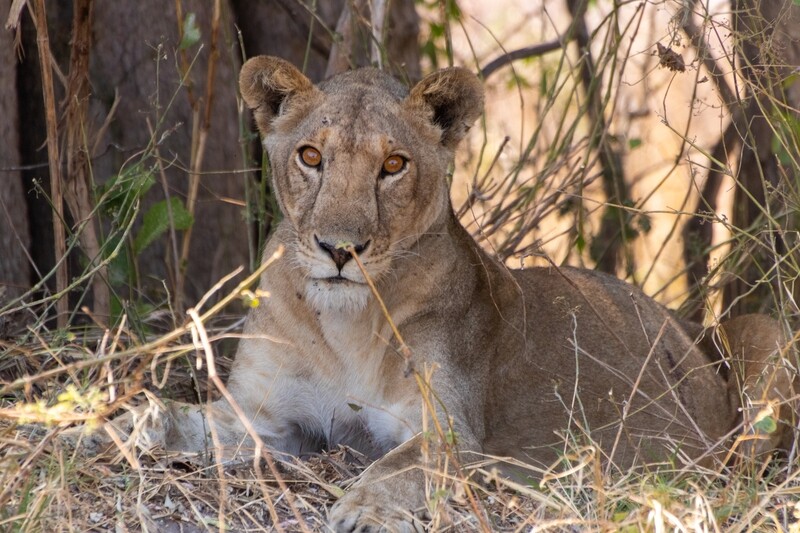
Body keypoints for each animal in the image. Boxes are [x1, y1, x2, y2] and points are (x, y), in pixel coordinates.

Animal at [72, 56, 797, 532]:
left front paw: (362, 508)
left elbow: (401, 465)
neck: (345, 323)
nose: (340, 249)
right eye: (311, 156)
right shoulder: (263, 419)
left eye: (393, 165)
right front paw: (92, 426)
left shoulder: (454, 432)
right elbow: (170, 416)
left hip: (762, 331)